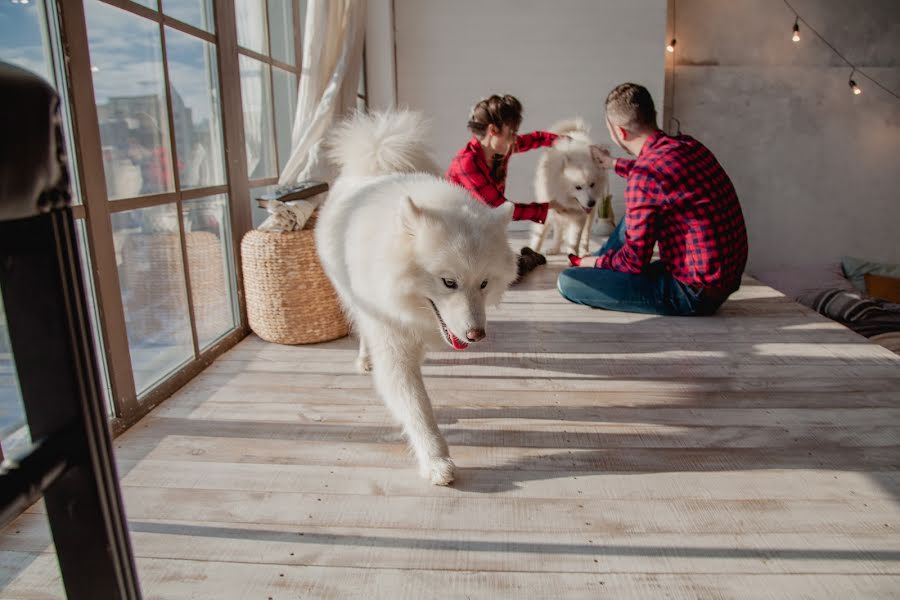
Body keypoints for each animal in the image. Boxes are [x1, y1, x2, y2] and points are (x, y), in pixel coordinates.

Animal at [316, 112, 516, 486]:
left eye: (484, 283)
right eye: (449, 282)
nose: (476, 335)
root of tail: (378, 157)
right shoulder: (391, 340)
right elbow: (416, 406)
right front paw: (436, 461)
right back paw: (364, 359)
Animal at [528, 119, 612, 255]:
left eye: (592, 184)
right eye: (578, 187)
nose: (591, 203)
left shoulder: (579, 217)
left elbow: (575, 240)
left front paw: (573, 257)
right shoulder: (548, 210)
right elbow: (538, 237)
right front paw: (531, 251)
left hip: (590, 215)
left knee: (585, 235)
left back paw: (585, 252)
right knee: (558, 230)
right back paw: (555, 249)